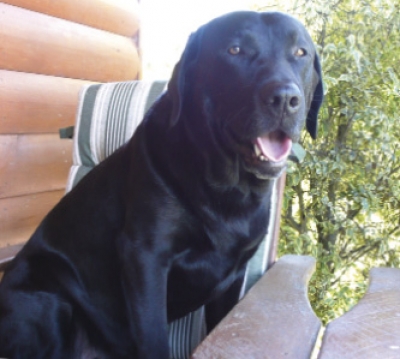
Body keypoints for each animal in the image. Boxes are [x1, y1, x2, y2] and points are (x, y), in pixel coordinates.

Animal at [0, 11, 322, 359]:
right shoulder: (145, 258)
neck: (228, 189)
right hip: (47, 296)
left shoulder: (235, 274)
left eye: (301, 52)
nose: (285, 98)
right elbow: (153, 337)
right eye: (235, 50)